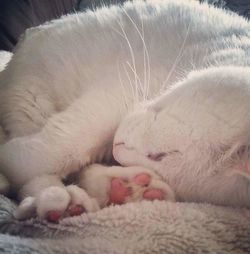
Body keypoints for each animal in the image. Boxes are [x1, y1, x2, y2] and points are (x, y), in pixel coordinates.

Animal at [0, 0, 250, 220]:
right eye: (160, 106)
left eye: (158, 157)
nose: (117, 143)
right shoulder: (125, 90)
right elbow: (63, 145)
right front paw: (7, 161)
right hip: (31, 96)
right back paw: (57, 198)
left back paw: (118, 190)